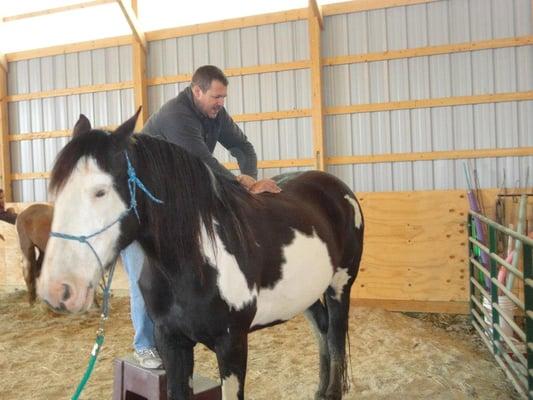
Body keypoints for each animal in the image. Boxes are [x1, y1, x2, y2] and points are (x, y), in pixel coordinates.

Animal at [36, 110, 362, 400]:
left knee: (335, 336)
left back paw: (332, 391)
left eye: (100, 192)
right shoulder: (172, 343)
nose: (59, 289)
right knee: (321, 330)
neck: (197, 262)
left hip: (339, 286)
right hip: (305, 293)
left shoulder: (232, 344)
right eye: (56, 190)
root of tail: (336, 188)